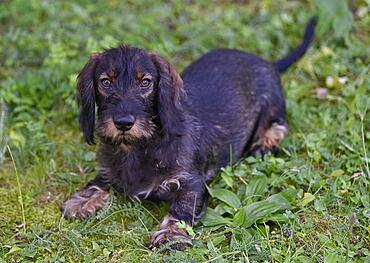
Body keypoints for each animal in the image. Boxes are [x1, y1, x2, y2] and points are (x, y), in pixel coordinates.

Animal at [62, 17, 316, 252]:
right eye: (105, 82)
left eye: (145, 82)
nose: (123, 122)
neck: (140, 147)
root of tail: (267, 63)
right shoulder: (110, 168)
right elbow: (101, 180)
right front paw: (82, 200)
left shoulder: (192, 183)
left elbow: (181, 210)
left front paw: (170, 234)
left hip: (272, 104)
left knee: (279, 125)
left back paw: (264, 143)